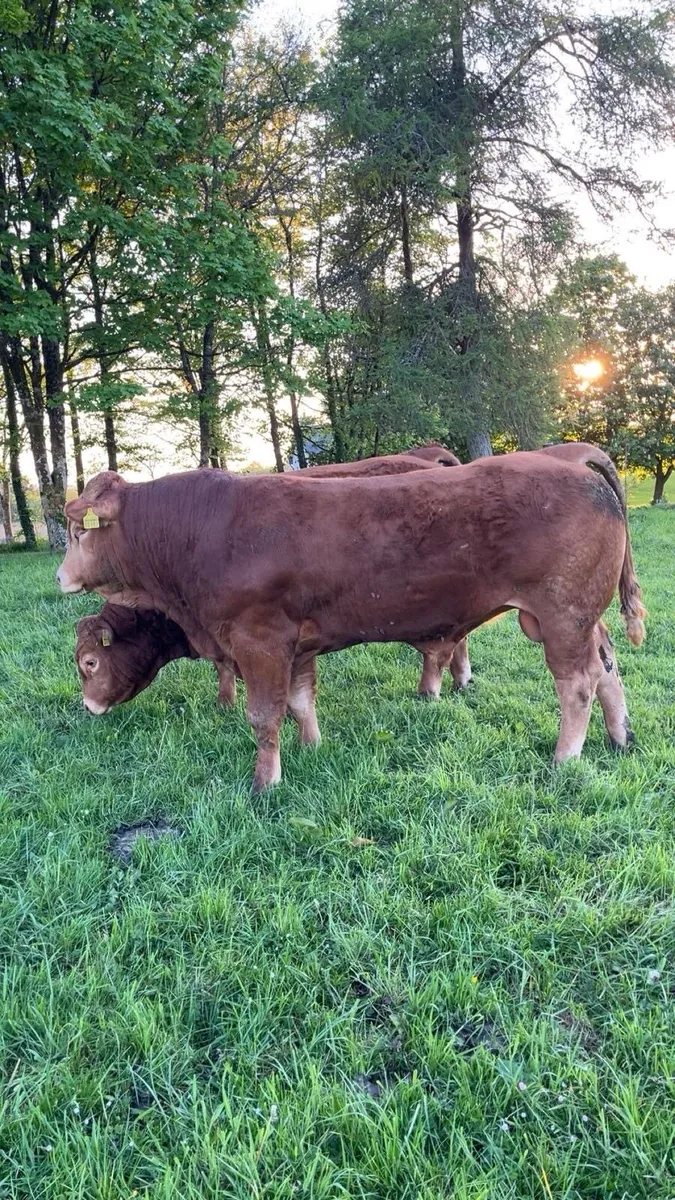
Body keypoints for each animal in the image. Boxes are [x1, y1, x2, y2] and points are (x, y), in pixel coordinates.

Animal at [58, 448, 645, 791]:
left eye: (89, 663)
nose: (61, 575)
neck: (201, 529)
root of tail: (573, 463)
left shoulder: (259, 641)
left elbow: (264, 716)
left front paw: (266, 782)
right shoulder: (296, 645)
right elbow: (300, 702)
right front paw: (312, 748)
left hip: (562, 614)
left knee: (577, 683)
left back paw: (565, 758)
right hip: (579, 616)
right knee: (607, 667)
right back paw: (620, 737)